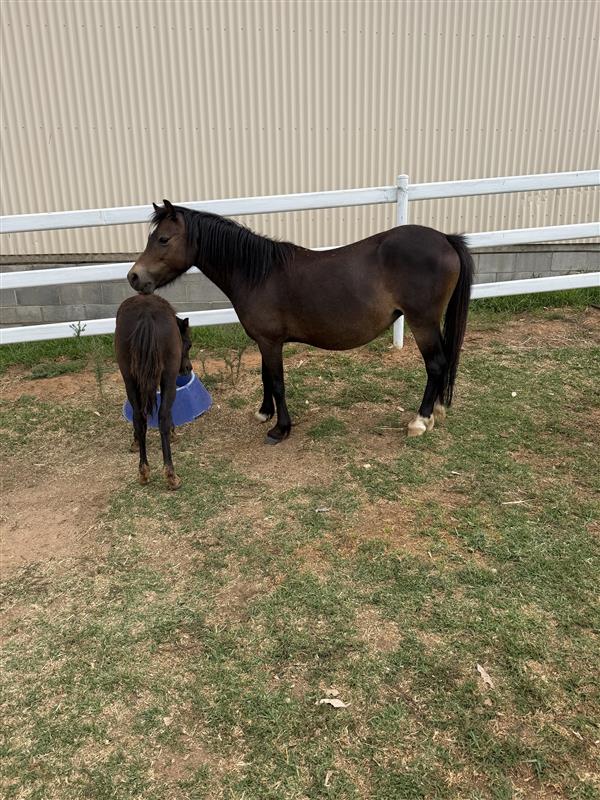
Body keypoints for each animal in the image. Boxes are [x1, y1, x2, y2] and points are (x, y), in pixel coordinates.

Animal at [115, 293, 192, 489]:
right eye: (188, 344)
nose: (188, 368)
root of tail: (146, 315)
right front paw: (172, 432)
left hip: (130, 378)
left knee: (139, 418)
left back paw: (143, 472)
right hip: (167, 377)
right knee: (162, 415)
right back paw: (171, 475)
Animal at [128, 199, 473, 444]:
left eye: (163, 239)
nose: (134, 277)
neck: (257, 273)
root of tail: (445, 238)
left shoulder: (271, 342)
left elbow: (278, 382)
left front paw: (280, 429)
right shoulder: (264, 341)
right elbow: (266, 377)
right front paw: (264, 413)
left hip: (422, 322)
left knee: (436, 365)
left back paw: (420, 420)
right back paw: (437, 410)